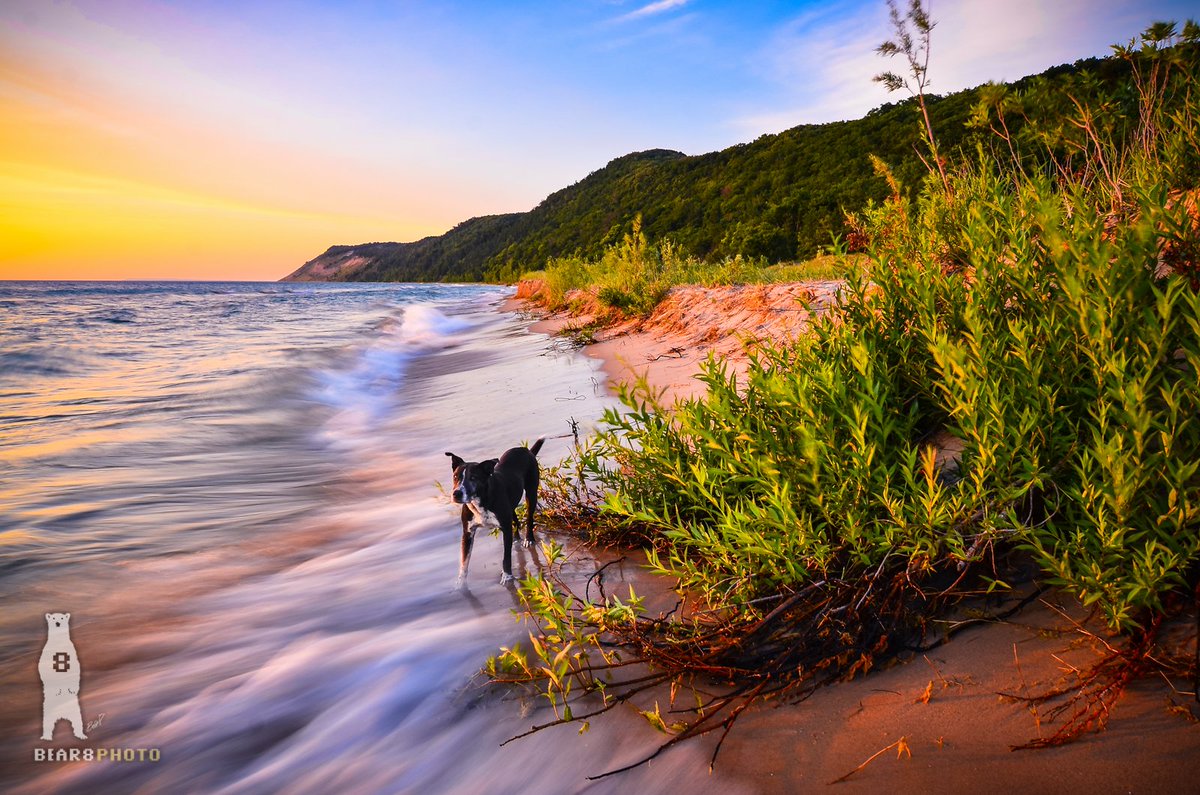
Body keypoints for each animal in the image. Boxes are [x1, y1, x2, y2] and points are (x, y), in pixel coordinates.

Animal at [38, 612, 86, 741]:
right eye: (53, 618)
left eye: (62, 618)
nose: (57, 623)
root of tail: (62, 715)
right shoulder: (47, 652)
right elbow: (43, 667)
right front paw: (56, 688)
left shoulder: (71, 651)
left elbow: (75, 667)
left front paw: (73, 688)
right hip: (48, 708)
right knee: (47, 722)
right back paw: (46, 737)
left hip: (75, 708)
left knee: (78, 720)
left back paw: (81, 735)